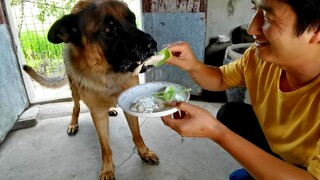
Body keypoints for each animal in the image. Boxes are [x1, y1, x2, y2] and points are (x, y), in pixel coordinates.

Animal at [24, 0, 160, 179]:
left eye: (132, 19)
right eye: (108, 29)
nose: (152, 45)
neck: (109, 77)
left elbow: (137, 134)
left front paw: (144, 152)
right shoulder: (98, 114)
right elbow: (105, 146)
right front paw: (108, 169)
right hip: (74, 89)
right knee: (76, 106)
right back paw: (73, 123)